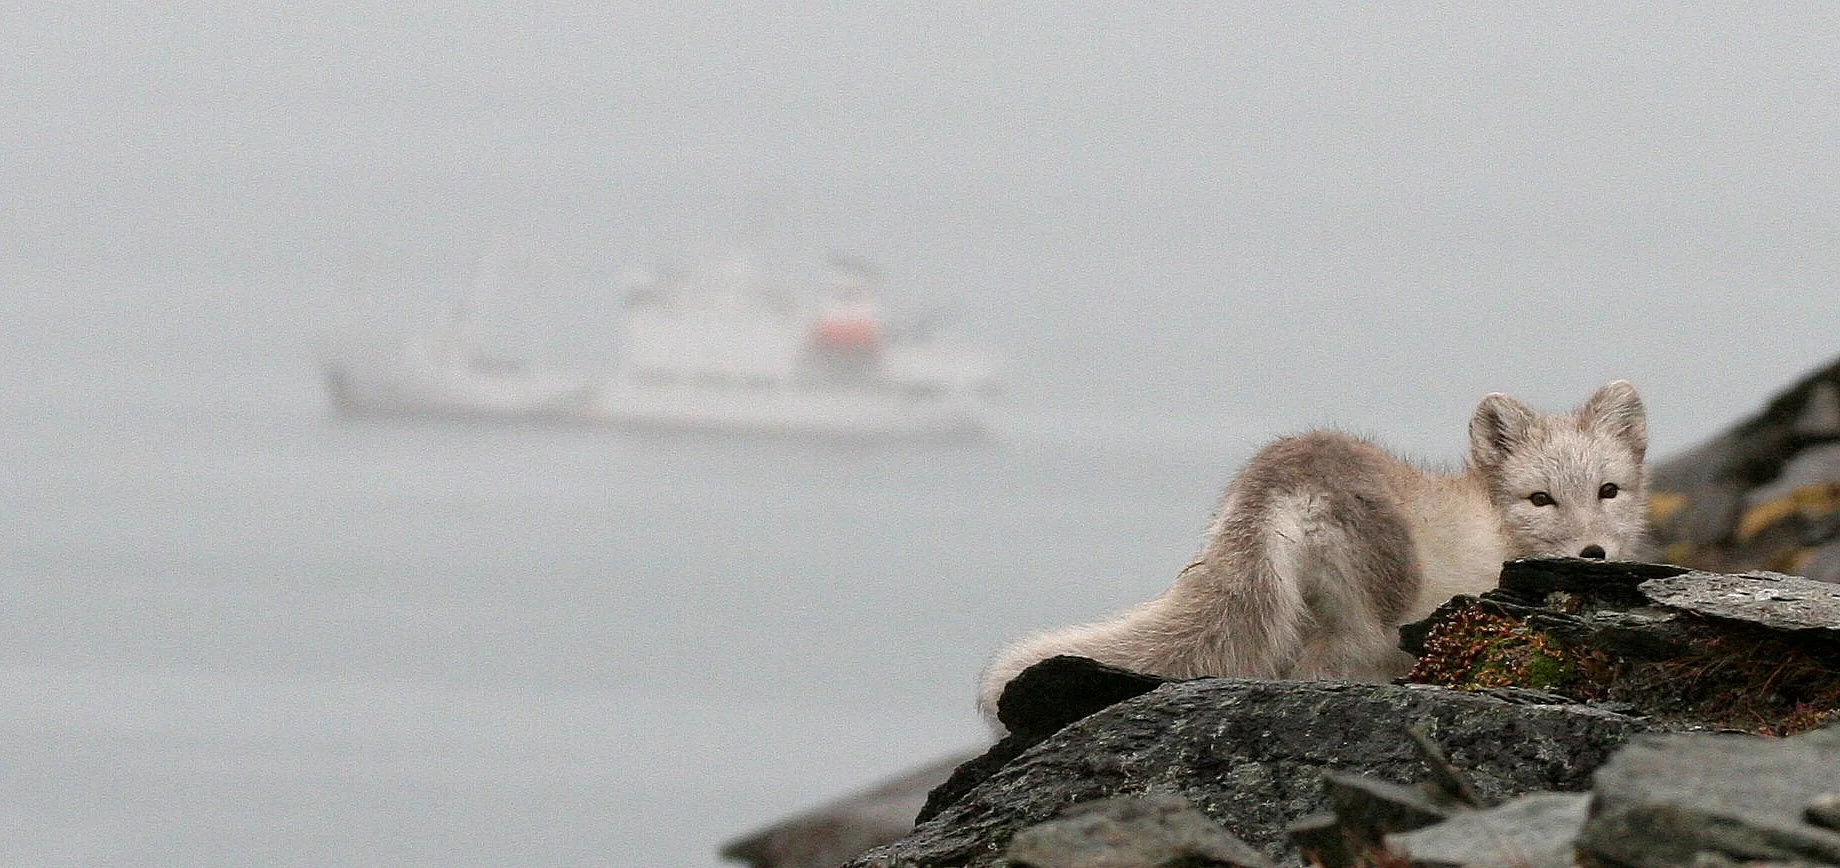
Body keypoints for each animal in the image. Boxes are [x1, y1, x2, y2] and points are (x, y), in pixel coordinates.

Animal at [979, 381, 1651, 726]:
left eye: (1608, 490)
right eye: (1540, 499)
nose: (1594, 553)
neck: (1492, 519)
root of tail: (1281, 480)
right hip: (1372, 619)